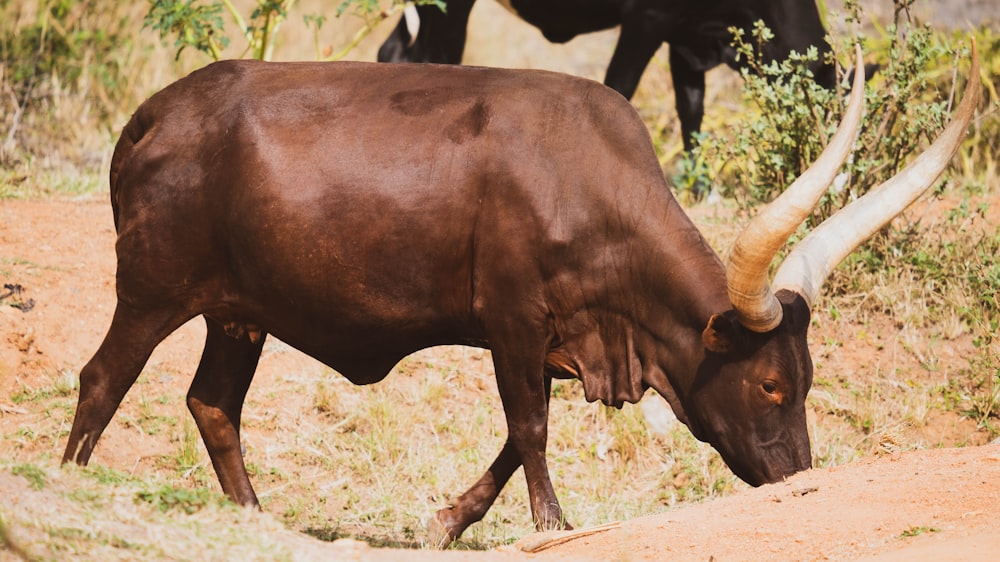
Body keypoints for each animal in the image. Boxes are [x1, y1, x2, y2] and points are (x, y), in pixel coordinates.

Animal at [60, 44, 976, 548]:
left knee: (213, 405)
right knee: (103, 379)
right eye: (771, 384)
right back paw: (65, 486)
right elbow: (529, 426)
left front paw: (447, 520)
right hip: (150, 292)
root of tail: (155, 113)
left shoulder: (553, 341)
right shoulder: (512, 317)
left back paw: (257, 522)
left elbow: (514, 434)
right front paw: (552, 524)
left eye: (807, 381)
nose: (798, 481)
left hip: (238, 316)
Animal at [378, 0, 840, 155]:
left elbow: (692, 111)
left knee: (394, 51)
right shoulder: (646, 20)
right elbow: (619, 87)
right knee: (431, 58)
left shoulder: (686, 37)